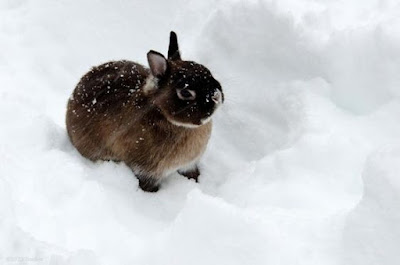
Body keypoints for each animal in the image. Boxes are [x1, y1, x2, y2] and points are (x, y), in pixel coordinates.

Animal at [65, 32, 222, 191]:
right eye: (185, 92)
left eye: (208, 71)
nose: (217, 96)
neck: (161, 112)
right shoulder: (146, 170)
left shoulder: (189, 164)